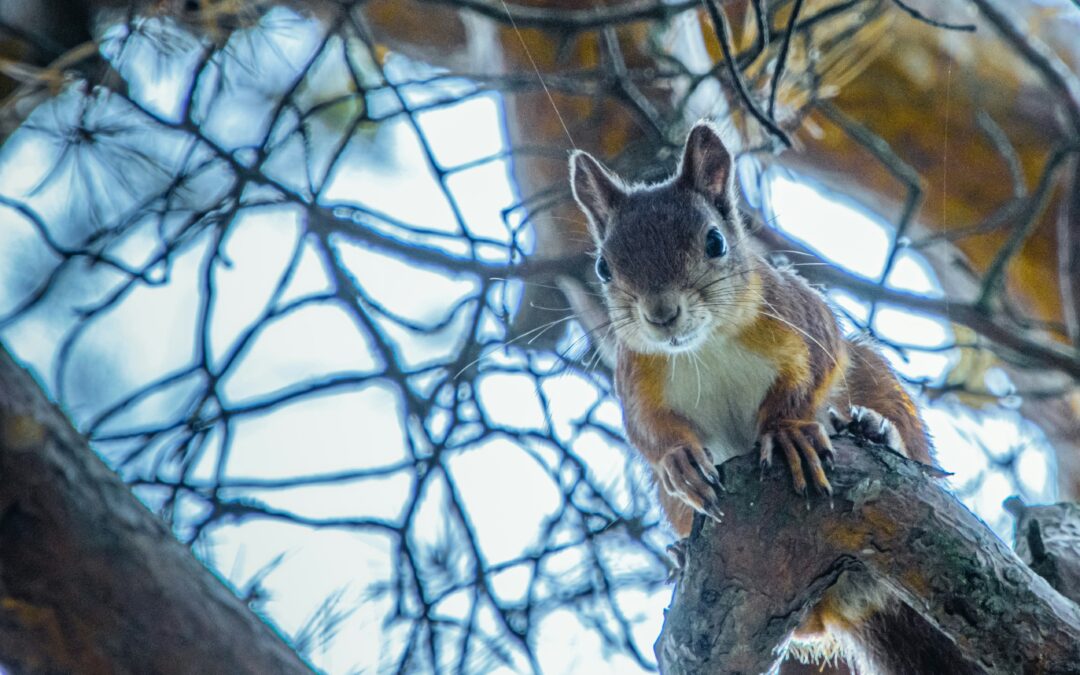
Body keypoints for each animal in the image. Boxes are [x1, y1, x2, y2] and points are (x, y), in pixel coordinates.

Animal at [568, 121, 980, 674]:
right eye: (604, 267)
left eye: (715, 241)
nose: (661, 314)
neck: (705, 347)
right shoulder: (635, 378)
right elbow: (647, 431)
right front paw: (679, 459)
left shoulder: (801, 318)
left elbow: (814, 373)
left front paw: (786, 432)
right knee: (811, 625)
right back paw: (681, 554)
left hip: (877, 379)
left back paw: (875, 430)